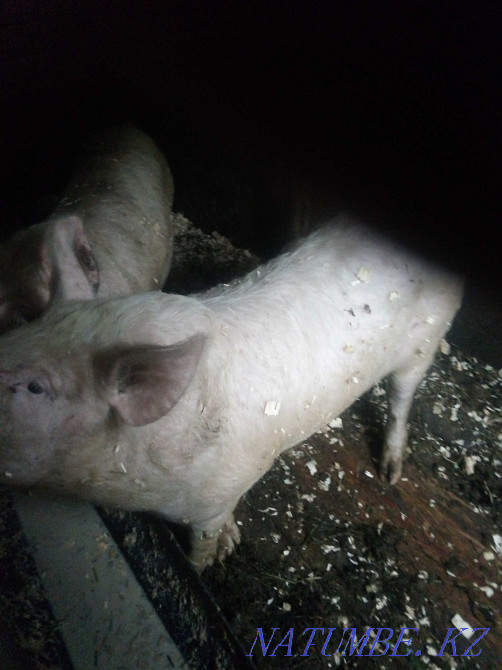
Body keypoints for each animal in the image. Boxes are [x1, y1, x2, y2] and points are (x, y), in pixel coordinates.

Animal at [0, 218, 463, 570]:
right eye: (17, 332)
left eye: (36, 387)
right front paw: (231, 542)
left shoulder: (226, 486)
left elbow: (203, 537)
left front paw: (205, 565)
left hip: (426, 340)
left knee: (403, 396)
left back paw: (390, 472)